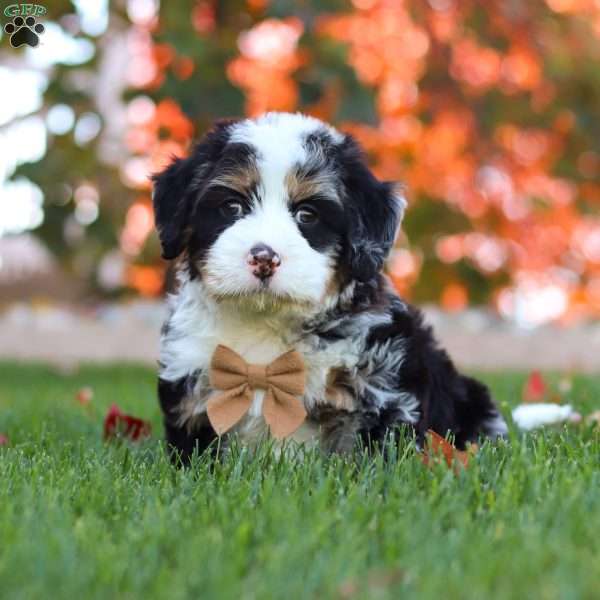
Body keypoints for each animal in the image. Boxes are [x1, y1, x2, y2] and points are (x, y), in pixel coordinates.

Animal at [151, 112, 506, 464]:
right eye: (232, 206)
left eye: (307, 215)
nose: (264, 257)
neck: (266, 321)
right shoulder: (191, 381)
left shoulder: (382, 391)